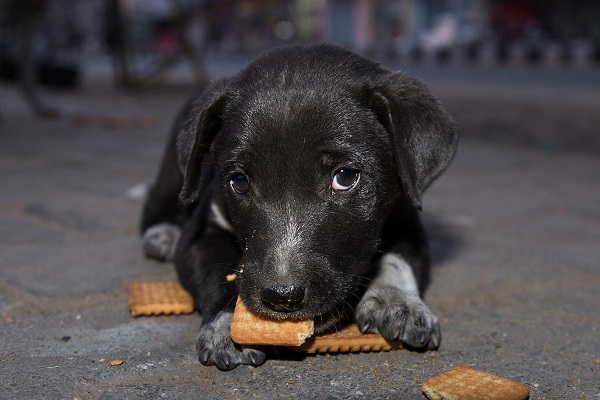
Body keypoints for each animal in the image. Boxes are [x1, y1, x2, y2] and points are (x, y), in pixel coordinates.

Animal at [142, 42, 460, 370]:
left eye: (345, 177)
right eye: (239, 181)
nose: (281, 296)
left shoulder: (407, 219)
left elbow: (401, 258)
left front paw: (398, 302)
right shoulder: (200, 232)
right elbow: (214, 272)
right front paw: (228, 325)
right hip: (175, 175)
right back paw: (162, 235)